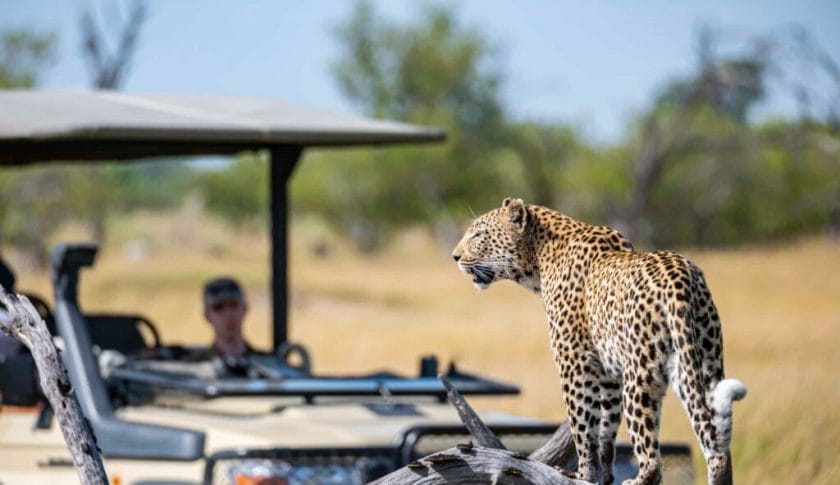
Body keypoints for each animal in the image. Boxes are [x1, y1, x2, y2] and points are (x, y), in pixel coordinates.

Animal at [450, 198, 744, 484]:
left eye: (478, 234)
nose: (455, 257)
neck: (539, 257)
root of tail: (680, 275)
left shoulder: (573, 364)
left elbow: (583, 427)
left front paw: (583, 474)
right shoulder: (610, 375)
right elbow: (605, 433)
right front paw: (604, 476)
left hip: (640, 377)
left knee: (652, 459)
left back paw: (637, 480)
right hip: (702, 364)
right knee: (717, 447)